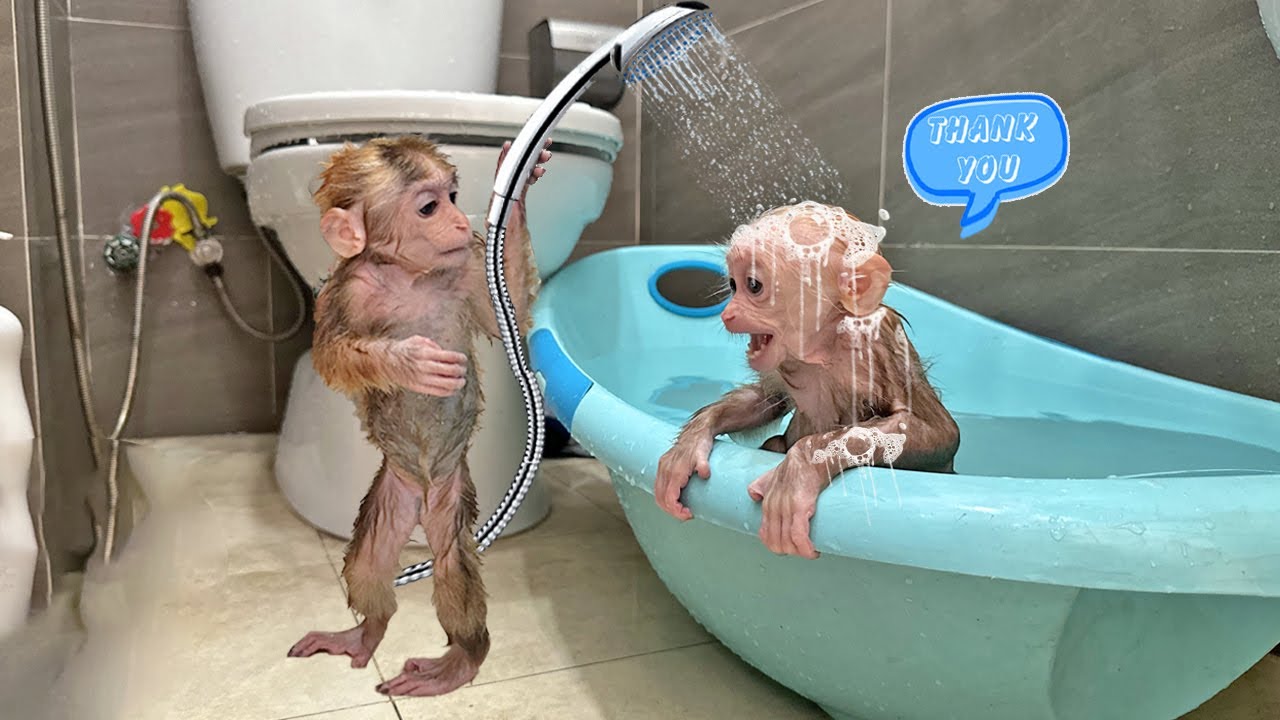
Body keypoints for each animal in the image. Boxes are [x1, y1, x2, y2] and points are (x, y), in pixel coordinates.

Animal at [284, 135, 552, 697]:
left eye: (452, 197)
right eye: (429, 207)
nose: (459, 222)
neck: (405, 274)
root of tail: (422, 495)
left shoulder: (465, 271)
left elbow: (506, 309)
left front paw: (516, 181)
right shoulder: (345, 290)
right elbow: (330, 355)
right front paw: (410, 362)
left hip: (451, 495)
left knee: (452, 563)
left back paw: (462, 659)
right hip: (391, 494)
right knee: (369, 563)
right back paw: (367, 632)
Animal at [655, 201, 960, 560]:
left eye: (753, 285)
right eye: (732, 284)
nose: (727, 313)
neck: (823, 347)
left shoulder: (877, 341)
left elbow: (937, 430)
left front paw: (799, 470)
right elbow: (766, 399)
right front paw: (689, 445)